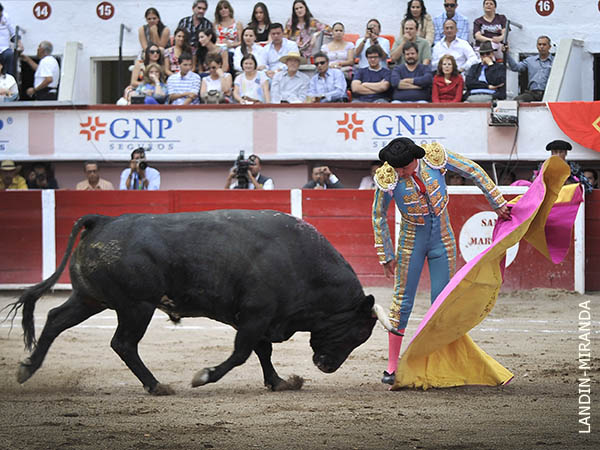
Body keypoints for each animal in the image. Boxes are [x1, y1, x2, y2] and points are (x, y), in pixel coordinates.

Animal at [7, 210, 394, 395]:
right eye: (358, 333)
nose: (326, 366)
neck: (304, 264)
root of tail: (103, 221)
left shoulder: (259, 319)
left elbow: (262, 351)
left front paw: (280, 382)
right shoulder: (255, 316)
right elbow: (242, 353)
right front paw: (204, 376)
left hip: (90, 298)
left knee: (55, 319)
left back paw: (27, 368)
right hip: (137, 306)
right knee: (123, 343)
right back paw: (157, 386)